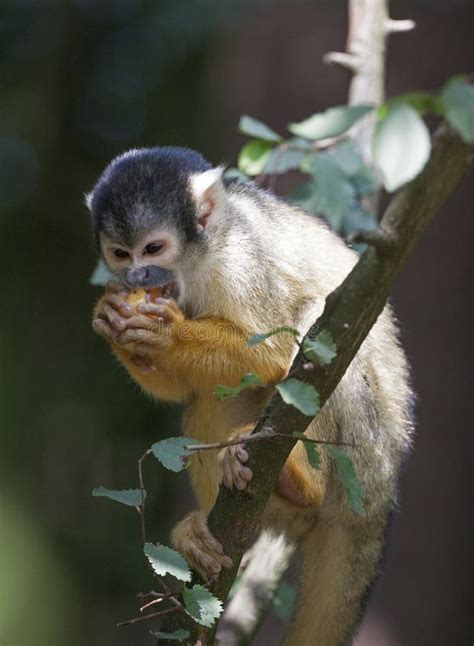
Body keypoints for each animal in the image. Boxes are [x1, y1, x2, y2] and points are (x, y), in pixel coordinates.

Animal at [87, 148, 412, 646]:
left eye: (154, 249)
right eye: (121, 254)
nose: (137, 274)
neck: (200, 259)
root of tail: (384, 497)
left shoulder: (242, 261)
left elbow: (275, 351)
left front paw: (166, 333)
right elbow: (181, 387)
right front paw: (113, 319)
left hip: (364, 461)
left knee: (320, 332)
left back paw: (301, 483)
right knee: (210, 394)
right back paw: (211, 526)